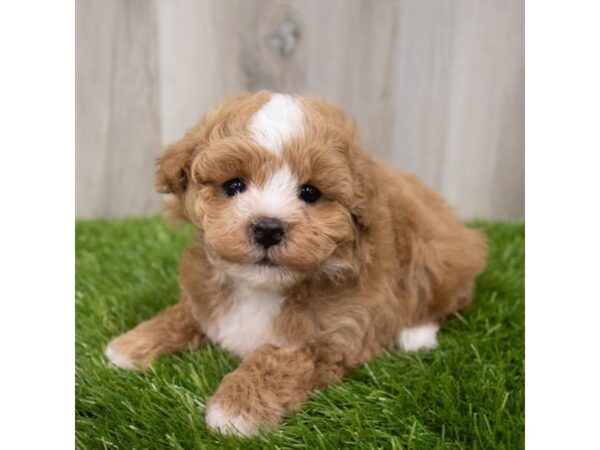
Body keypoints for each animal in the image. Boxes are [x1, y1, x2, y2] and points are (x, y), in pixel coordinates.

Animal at [104, 90, 488, 436]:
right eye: (234, 185)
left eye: (310, 193)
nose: (268, 228)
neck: (261, 287)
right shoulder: (204, 298)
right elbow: (183, 314)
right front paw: (132, 344)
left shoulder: (332, 336)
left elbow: (279, 359)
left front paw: (236, 406)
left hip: (435, 252)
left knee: (449, 299)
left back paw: (416, 334)